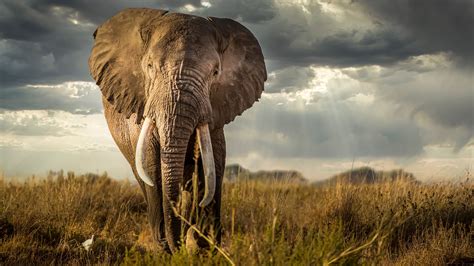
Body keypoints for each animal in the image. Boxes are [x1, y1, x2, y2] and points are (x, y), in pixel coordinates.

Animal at [89, 8, 266, 252]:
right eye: (149, 66)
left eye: (215, 72)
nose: (176, 246)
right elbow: (151, 166)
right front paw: (168, 247)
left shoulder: (216, 108)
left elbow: (214, 163)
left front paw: (206, 244)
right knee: (143, 177)